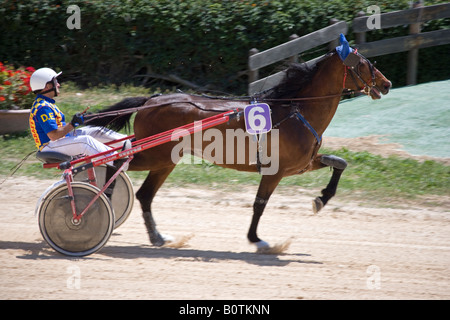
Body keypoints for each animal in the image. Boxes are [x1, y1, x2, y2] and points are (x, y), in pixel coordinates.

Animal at [87, 40, 390, 250]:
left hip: (165, 160)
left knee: (144, 194)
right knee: (118, 160)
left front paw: (321, 198)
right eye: (366, 63)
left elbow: (340, 163)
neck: (295, 109)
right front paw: (257, 240)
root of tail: (152, 100)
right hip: (154, 154)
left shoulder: (301, 165)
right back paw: (102, 203)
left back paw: (157, 236)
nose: (387, 84)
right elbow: (259, 204)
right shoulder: (276, 170)